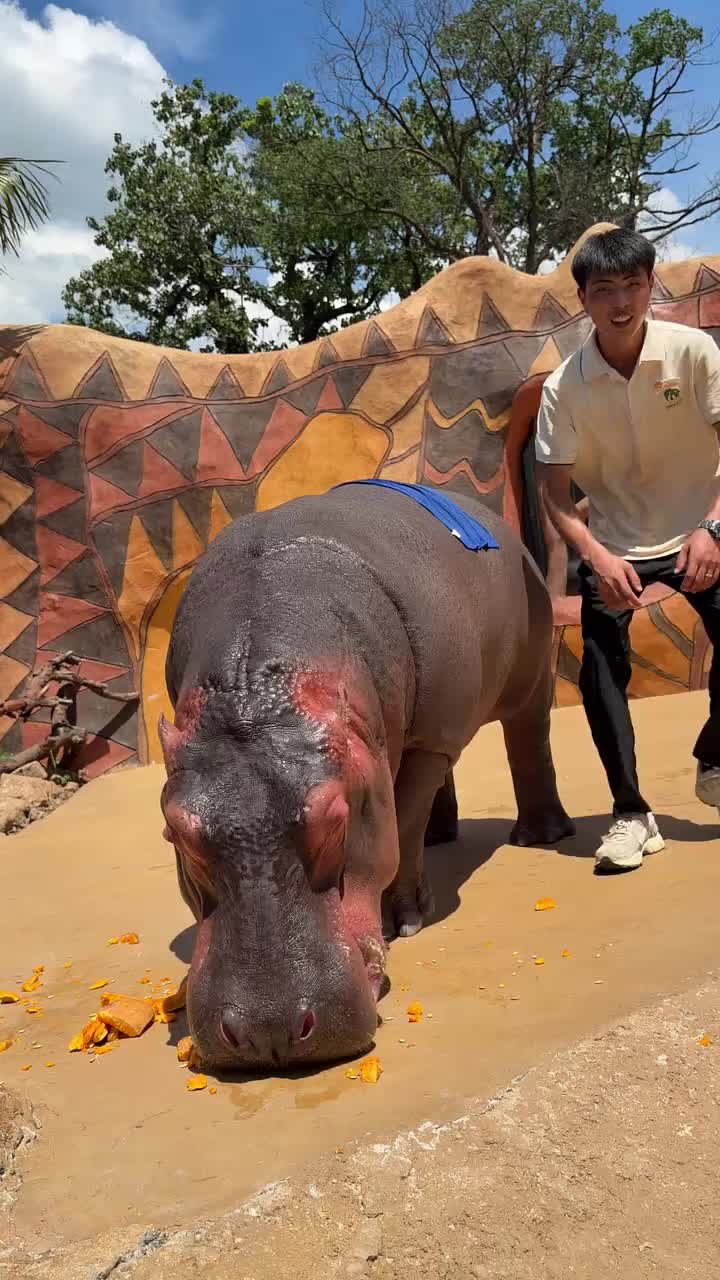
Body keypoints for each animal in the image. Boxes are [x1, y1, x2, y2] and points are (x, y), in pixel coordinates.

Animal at [159, 483, 573, 1071]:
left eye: (336, 817)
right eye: (176, 832)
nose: (269, 1032)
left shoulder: (428, 739)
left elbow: (402, 822)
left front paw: (405, 921)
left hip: (523, 679)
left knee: (526, 739)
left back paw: (538, 836)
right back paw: (443, 836)